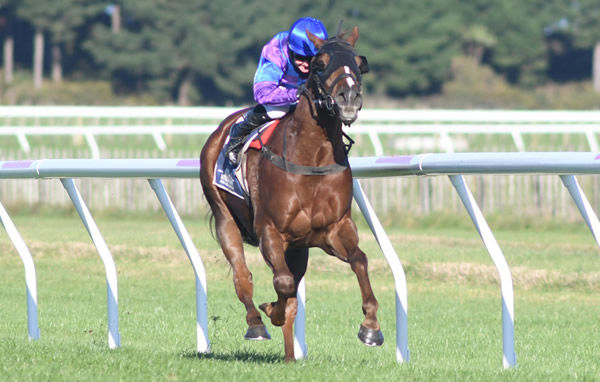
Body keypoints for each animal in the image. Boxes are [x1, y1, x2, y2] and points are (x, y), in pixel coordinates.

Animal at [199, 26, 382, 362]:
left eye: (359, 63)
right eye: (320, 63)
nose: (349, 98)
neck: (313, 159)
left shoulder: (333, 230)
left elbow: (360, 261)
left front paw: (371, 327)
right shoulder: (269, 230)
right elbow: (282, 284)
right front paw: (270, 311)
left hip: (298, 247)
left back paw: (288, 357)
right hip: (224, 217)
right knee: (242, 276)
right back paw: (256, 323)